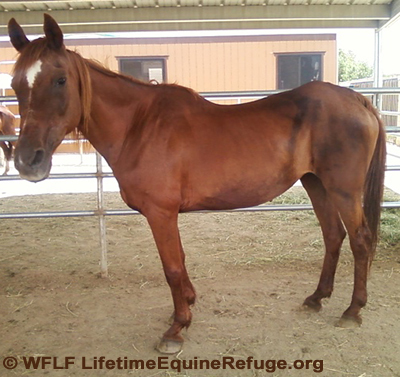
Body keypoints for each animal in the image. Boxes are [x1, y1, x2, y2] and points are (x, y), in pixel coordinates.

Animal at [8, 13, 384, 350]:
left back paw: (352, 311)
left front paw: (176, 329)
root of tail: (357, 99)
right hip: (315, 183)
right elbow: (181, 261)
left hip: (343, 190)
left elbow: (172, 267)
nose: (27, 161)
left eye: (60, 80)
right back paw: (317, 298)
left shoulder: (160, 213)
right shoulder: (167, 214)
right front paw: (187, 305)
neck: (139, 126)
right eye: (15, 84)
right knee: (333, 236)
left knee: (360, 240)